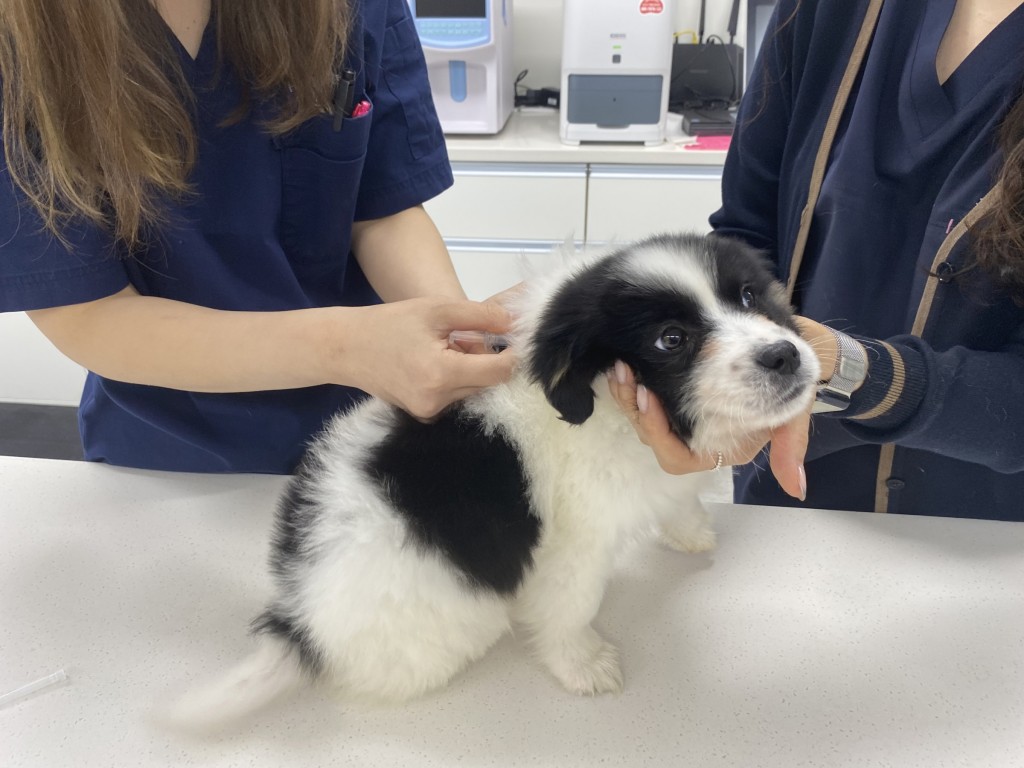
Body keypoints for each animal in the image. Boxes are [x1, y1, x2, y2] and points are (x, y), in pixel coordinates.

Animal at [172, 231, 819, 729]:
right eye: (671, 340)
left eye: (748, 296)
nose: (783, 355)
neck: (597, 402)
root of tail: (300, 626)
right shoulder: (575, 544)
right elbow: (571, 607)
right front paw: (583, 664)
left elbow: (677, 499)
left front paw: (691, 531)